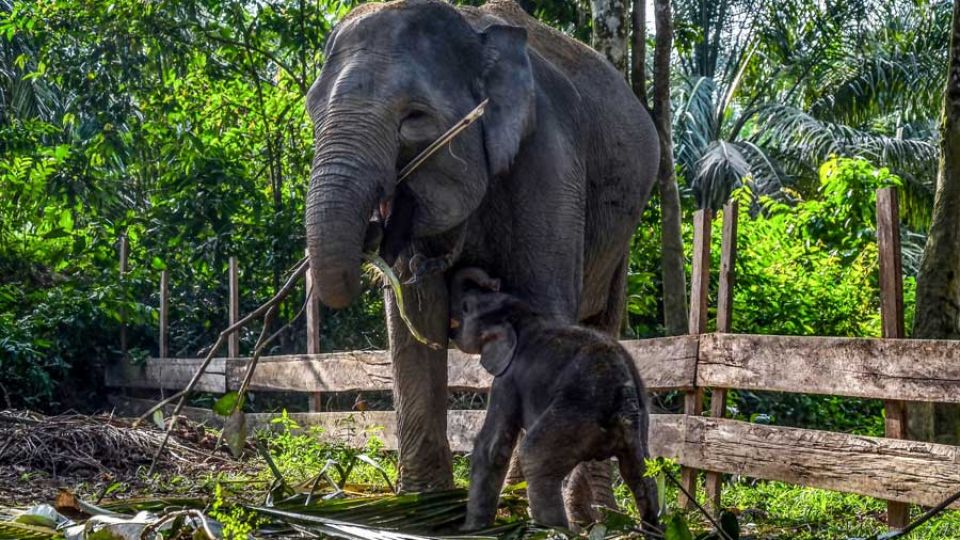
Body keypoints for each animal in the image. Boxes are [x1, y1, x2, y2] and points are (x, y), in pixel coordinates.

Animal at [303, 0, 659, 504]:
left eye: (414, 117)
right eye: (312, 112)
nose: (374, 233)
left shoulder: (549, 160)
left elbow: (546, 313)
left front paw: (517, 500)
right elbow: (415, 325)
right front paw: (423, 500)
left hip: (622, 233)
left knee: (602, 327)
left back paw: (593, 510)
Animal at [450, 267, 659, 530]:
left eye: (466, 307)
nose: (492, 281)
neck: (524, 317)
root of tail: (624, 396)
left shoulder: (508, 380)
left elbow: (493, 447)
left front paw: (470, 530)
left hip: (574, 414)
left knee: (534, 459)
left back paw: (551, 530)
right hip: (637, 422)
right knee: (640, 471)